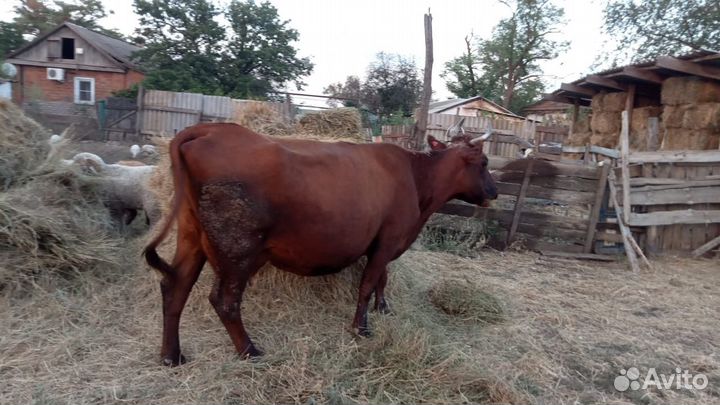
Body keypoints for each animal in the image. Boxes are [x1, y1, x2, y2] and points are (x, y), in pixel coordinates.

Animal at [144, 123, 497, 366]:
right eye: (483, 163)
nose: (494, 191)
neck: (416, 180)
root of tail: (211, 128)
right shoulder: (388, 240)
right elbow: (368, 283)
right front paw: (361, 328)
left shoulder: (383, 240)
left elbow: (383, 277)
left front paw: (383, 308)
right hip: (238, 248)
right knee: (224, 301)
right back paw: (249, 350)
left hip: (191, 236)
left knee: (175, 287)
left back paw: (171, 356)